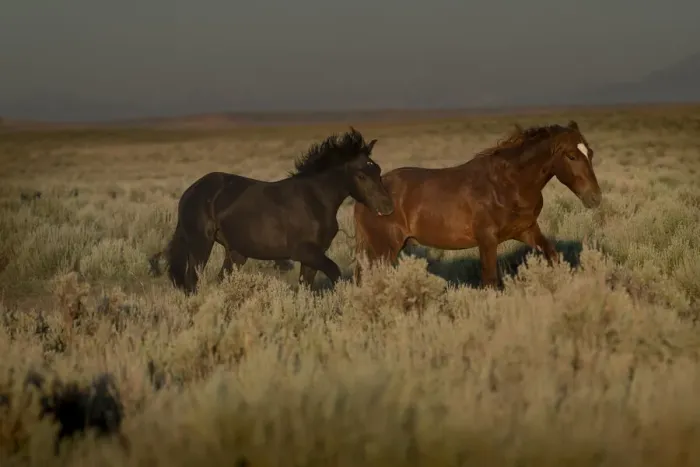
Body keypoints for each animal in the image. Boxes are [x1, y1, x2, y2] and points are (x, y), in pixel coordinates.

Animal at [164, 127, 394, 295]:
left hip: (236, 253)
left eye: (378, 170)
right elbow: (335, 273)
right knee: (192, 281)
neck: (314, 199)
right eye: (361, 175)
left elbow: (305, 287)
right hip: (201, 244)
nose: (388, 207)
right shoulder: (304, 252)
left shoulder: (312, 256)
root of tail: (189, 192)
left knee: (221, 279)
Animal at [352, 120, 602, 289]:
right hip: (383, 250)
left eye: (590, 153)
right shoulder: (487, 240)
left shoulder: (527, 230)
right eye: (571, 156)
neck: (508, 184)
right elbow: (490, 280)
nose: (595, 197)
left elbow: (553, 256)